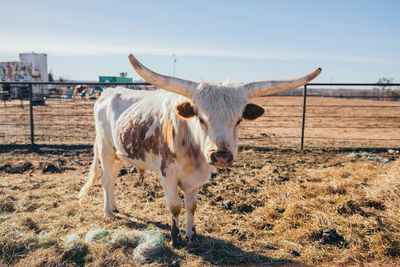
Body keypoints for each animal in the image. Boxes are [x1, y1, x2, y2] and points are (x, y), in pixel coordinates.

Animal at [79, 54, 320, 247]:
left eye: (239, 120)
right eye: (201, 118)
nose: (221, 155)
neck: (193, 153)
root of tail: (110, 91)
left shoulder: (197, 178)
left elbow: (191, 206)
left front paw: (191, 234)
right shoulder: (167, 174)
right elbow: (175, 206)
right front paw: (175, 238)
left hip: (120, 152)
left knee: (113, 178)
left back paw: (115, 207)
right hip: (105, 148)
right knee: (106, 179)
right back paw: (108, 212)